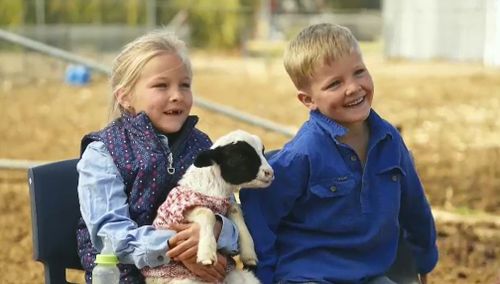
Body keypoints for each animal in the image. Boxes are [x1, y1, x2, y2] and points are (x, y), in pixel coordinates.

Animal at [142, 130, 274, 282]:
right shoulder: (182, 210)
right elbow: (207, 213)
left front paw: (249, 254)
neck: (212, 189)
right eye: (241, 155)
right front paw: (207, 254)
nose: (270, 173)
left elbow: (236, 212)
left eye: (262, 151)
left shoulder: (228, 205)